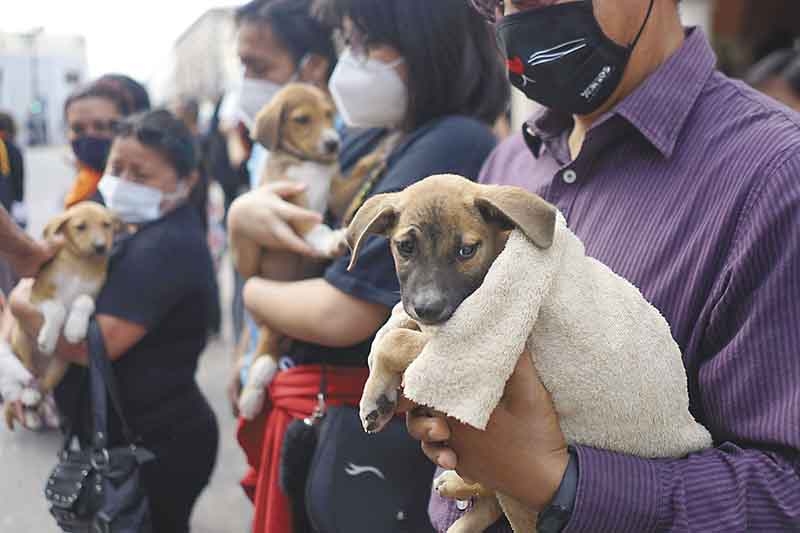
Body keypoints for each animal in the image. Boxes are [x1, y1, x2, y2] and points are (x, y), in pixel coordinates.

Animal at [3, 202, 117, 430]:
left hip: (59, 368)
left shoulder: (95, 296)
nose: (101, 247)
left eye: (107, 225)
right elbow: (57, 308)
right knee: (28, 376)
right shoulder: (35, 295)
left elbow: (83, 300)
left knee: (43, 386)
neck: (80, 264)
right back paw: (29, 395)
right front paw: (48, 339)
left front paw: (74, 329)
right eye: (81, 227)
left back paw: (38, 411)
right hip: (21, 340)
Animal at [234, 82, 354, 420]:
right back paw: (251, 397)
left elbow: (357, 173)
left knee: (271, 353)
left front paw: (382, 152)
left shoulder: (336, 188)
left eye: (329, 114)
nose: (333, 143)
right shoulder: (291, 199)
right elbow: (310, 224)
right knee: (264, 353)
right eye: (302, 119)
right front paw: (329, 241)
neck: (309, 164)